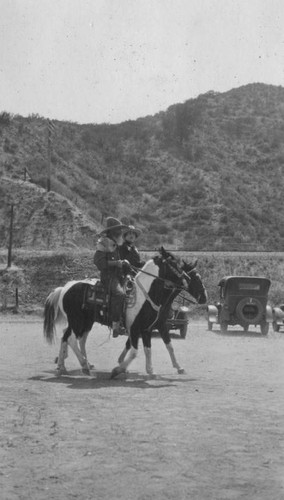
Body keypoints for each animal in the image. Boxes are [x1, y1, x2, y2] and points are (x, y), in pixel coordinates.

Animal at [43, 246, 206, 376]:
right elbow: (134, 351)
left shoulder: (152, 327)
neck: (147, 295)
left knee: (75, 338)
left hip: (85, 322)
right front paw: (119, 368)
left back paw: (67, 365)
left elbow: (161, 347)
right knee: (71, 339)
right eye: (173, 264)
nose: (204, 297)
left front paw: (160, 369)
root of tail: (65, 288)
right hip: (77, 320)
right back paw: (82, 365)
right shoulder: (134, 328)